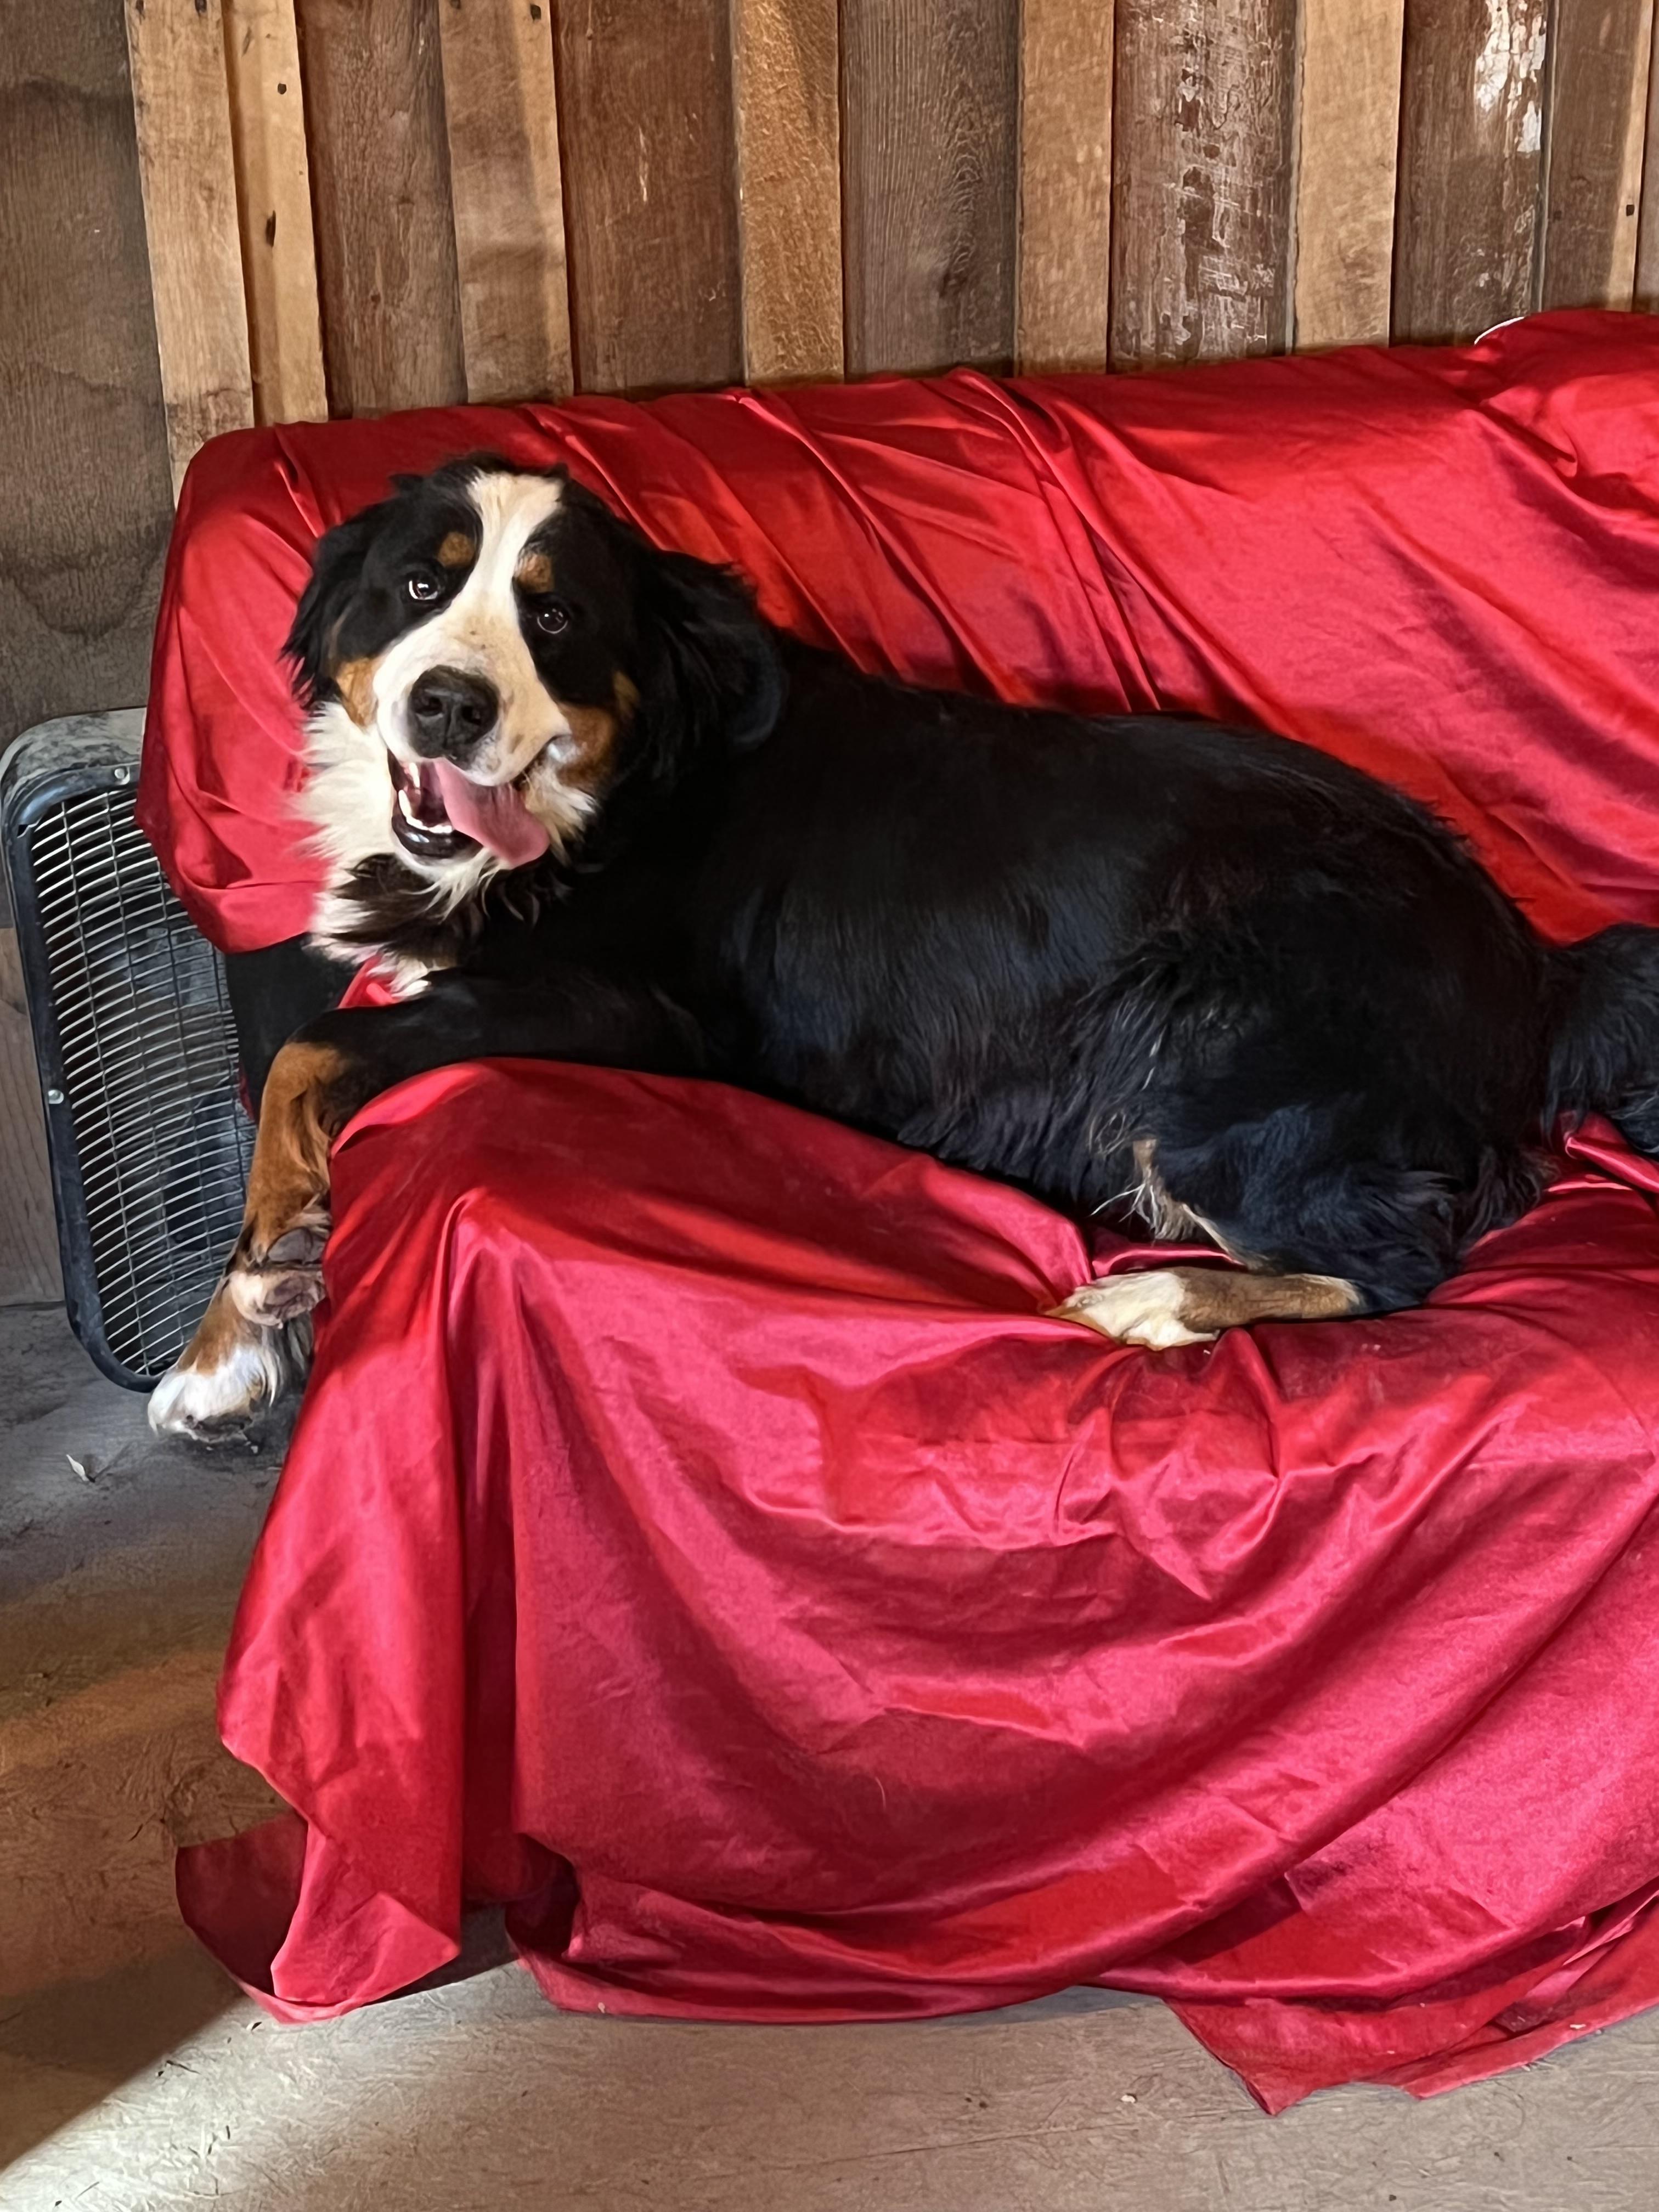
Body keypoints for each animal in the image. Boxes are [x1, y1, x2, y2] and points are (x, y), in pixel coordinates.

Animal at [150, 456, 1659, 1438]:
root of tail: (1536, 961)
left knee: (1392, 1268)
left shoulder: (620, 1008)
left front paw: (240, 1317)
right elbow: (301, 1057)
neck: (622, 792)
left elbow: (309, 1048)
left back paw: (1160, 1303)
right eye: (418, 586)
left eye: (557, 618)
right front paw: (235, 1330)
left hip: (1206, 1045)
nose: (448, 706)